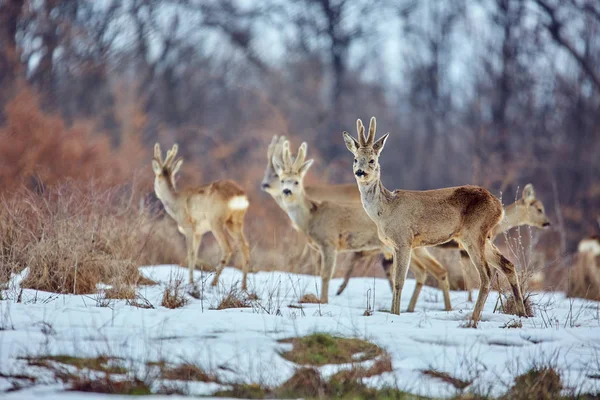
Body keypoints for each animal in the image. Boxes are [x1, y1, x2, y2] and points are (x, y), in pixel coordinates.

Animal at [154, 142, 252, 290]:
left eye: (157, 175)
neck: (175, 202)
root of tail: (239, 195)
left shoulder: (188, 227)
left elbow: (190, 254)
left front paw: (191, 282)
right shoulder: (199, 232)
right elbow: (195, 255)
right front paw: (192, 281)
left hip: (216, 220)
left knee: (227, 248)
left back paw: (213, 283)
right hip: (235, 222)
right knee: (244, 247)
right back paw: (243, 287)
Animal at [342, 117, 524, 326]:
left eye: (373, 160)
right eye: (355, 159)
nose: (360, 172)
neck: (385, 210)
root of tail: (499, 206)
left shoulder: (404, 240)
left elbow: (399, 281)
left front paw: (395, 315)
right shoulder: (394, 245)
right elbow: (397, 280)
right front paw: (393, 313)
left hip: (474, 232)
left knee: (486, 274)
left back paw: (473, 320)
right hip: (481, 236)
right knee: (507, 265)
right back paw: (522, 315)